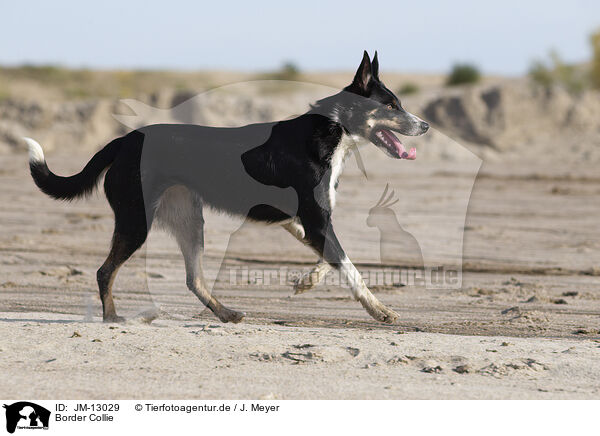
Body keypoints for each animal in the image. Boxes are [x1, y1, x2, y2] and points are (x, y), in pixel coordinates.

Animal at [25, 51, 428, 324]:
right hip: (136, 220)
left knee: (193, 279)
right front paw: (380, 310)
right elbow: (349, 266)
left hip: (189, 219)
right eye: (391, 106)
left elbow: (332, 260)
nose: (424, 125)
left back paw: (227, 313)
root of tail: (124, 141)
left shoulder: (304, 222)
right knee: (105, 271)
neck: (332, 130)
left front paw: (306, 281)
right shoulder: (315, 220)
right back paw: (112, 318)